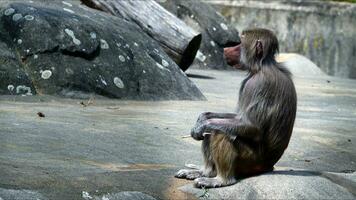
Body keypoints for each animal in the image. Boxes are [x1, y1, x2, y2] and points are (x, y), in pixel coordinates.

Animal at [175, 27, 298, 188]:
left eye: (240, 43)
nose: (226, 49)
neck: (262, 66)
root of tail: (268, 167)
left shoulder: (257, 84)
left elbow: (252, 126)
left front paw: (202, 125)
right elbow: (238, 117)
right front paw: (202, 118)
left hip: (251, 161)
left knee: (220, 133)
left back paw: (221, 180)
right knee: (215, 130)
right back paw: (205, 172)